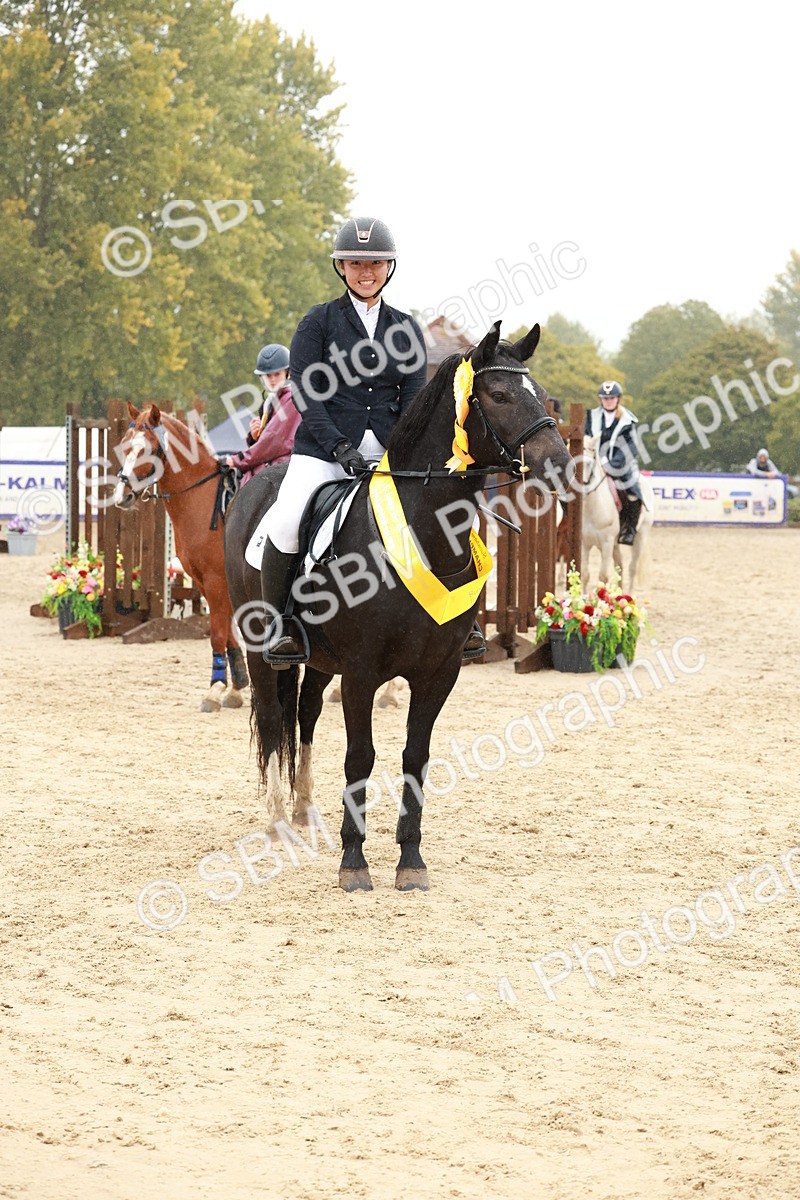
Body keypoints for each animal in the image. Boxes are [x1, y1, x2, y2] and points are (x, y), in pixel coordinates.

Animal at [113, 404, 249, 713]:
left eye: (147, 449)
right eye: (125, 445)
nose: (121, 495)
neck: (203, 499)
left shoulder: (216, 580)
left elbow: (218, 632)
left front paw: (214, 689)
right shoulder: (204, 581)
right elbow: (228, 630)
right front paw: (236, 686)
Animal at [223, 320, 572, 892]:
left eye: (542, 395)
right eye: (499, 395)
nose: (561, 467)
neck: (425, 534)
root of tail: (256, 486)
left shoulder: (439, 672)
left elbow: (416, 757)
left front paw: (410, 860)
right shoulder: (363, 672)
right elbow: (360, 756)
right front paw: (354, 862)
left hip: (322, 661)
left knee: (306, 713)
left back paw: (304, 810)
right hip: (259, 646)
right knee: (274, 717)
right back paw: (277, 820)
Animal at [580, 432, 653, 593]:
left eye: (588, 464)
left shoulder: (607, 543)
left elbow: (602, 577)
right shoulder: (585, 544)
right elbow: (585, 574)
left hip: (640, 536)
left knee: (632, 568)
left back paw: (629, 595)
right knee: (620, 567)